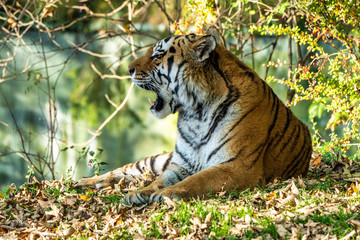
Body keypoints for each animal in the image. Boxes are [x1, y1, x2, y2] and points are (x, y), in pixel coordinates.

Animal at [77, 32, 314, 203]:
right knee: (124, 170)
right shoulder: (180, 163)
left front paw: (164, 194)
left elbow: (197, 180)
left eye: (157, 55)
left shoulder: (238, 165)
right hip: (155, 160)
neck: (196, 114)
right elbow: (159, 180)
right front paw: (140, 193)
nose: (128, 69)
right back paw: (87, 182)